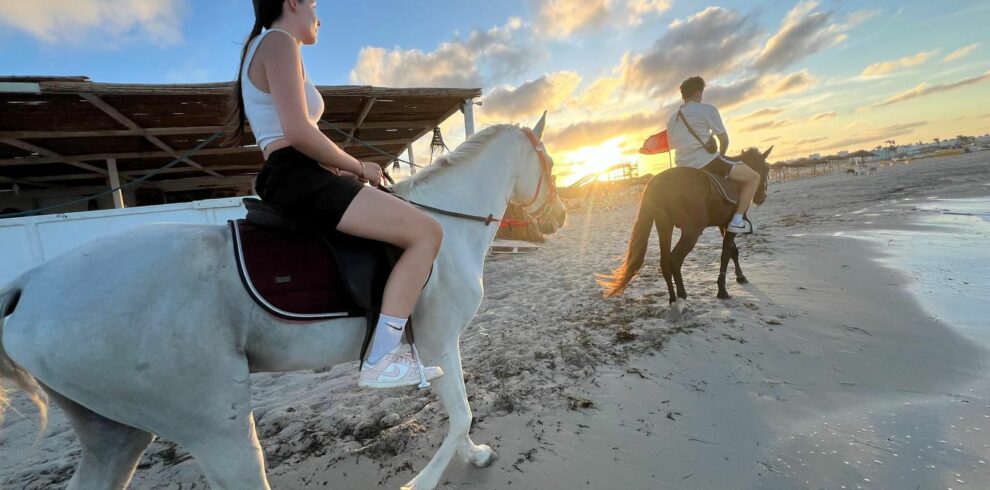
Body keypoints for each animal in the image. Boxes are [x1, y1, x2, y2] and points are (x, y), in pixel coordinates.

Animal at [0, 116, 568, 490]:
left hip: (116, 432)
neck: (446, 225)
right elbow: (462, 414)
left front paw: (473, 456)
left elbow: (461, 416)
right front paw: (426, 479)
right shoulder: (438, 342)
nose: (562, 216)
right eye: (550, 163)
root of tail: (29, 285)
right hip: (217, 429)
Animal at [596, 147, 776, 320]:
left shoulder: (724, 225)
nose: (762, 198)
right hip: (691, 232)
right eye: (766, 168)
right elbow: (726, 254)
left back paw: (672, 299)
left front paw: (740, 276)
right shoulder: (728, 225)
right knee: (675, 259)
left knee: (665, 262)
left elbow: (733, 251)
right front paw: (722, 289)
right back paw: (681, 297)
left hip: (664, 227)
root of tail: (657, 181)